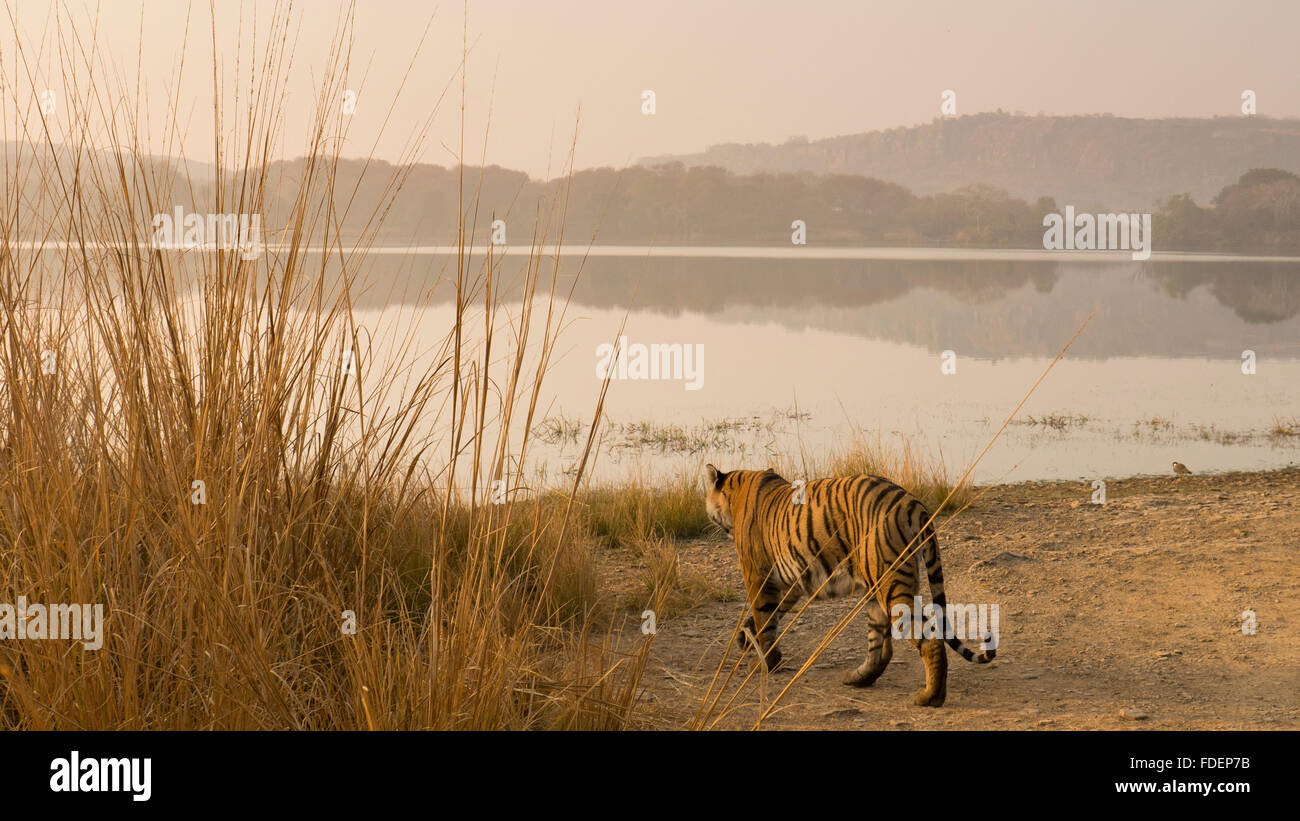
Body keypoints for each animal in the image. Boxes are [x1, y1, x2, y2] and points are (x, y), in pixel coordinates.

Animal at [702, 462, 993, 706]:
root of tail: (912, 502)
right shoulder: (790, 583)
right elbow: (769, 616)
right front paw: (746, 638)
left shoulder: (758, 576)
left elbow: (765, 619)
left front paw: (764, 661)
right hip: (876, 589)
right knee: (880, 646)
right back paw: (858, 678)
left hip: (890, 582)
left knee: (926, 638)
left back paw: (930, 697)